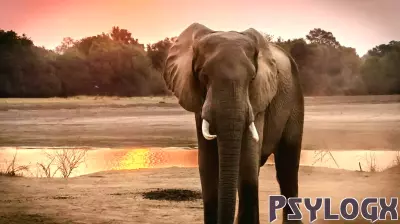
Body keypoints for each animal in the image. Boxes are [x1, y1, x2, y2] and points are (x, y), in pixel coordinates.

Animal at [162, 23, 304, 224]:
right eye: (203, 76)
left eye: (252, 79)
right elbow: (208, 166)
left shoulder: (258, 100)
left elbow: (247, 164)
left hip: (295, 100)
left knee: (287, 168)